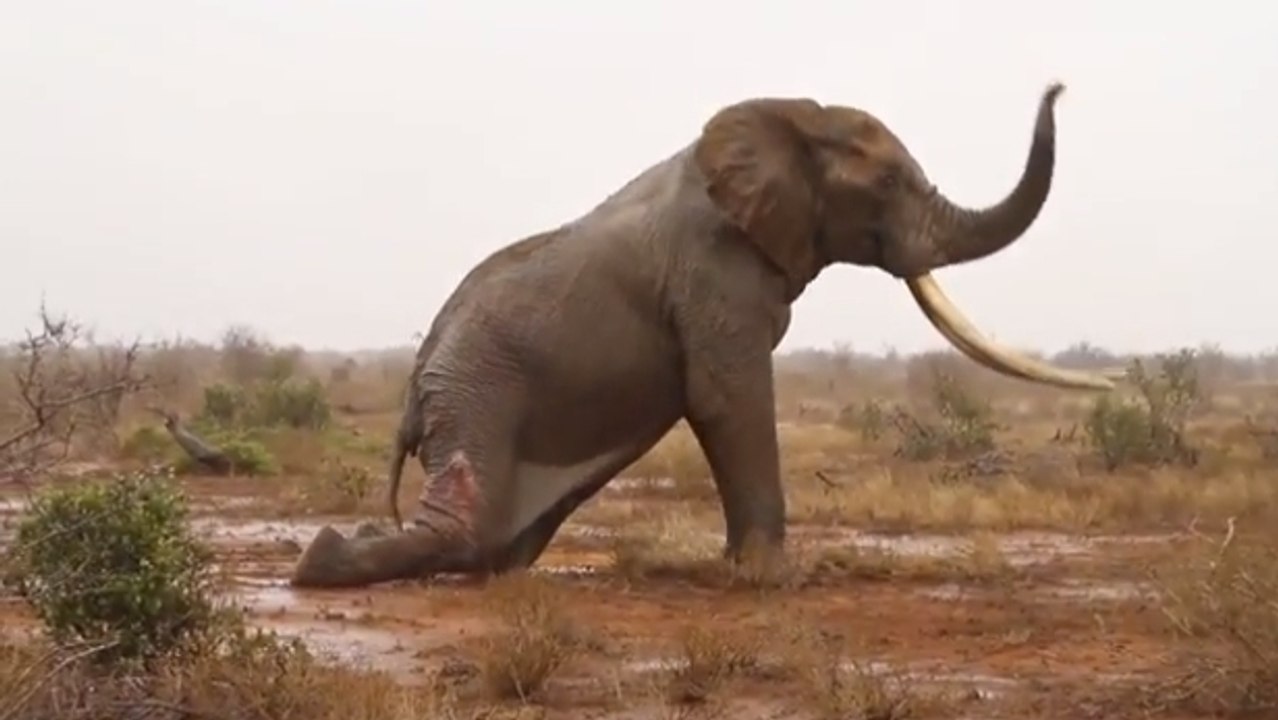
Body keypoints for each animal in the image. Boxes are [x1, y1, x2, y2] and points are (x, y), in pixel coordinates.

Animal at [289, 81, 1117, 588]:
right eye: (885, 184)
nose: (1059, 88)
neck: (793, 117)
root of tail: (414, 384)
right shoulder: (716, 269)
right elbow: (726, 398)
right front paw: (771, 581)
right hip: (478, 386)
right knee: (470, 521)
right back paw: (319, 558)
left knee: (494, 539)